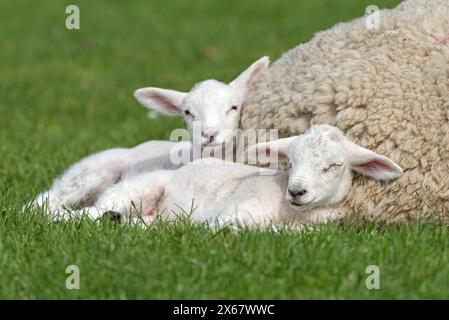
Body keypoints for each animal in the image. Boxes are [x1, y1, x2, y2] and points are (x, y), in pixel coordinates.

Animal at [65, 125, 402, 230]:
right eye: (291, 162)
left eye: (333, 166)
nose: (296, 191)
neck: (288, 213)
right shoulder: (234, 211)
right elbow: (219, 226)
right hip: (136, 188)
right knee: (89, 212)